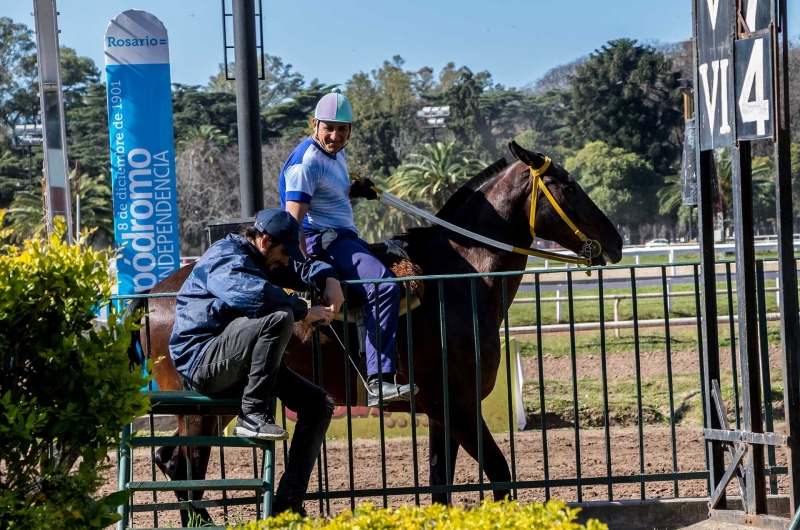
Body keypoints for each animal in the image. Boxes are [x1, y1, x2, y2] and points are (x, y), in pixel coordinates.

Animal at [126, 141, 624, 524]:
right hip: (204, 405)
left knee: (173, 462)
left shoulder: (441, 414)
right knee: (187, 468)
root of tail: (154, 292)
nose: (616, 241)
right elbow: (501, 477)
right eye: (568, 186)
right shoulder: (461, 408)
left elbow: (441, 488)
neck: (457, 279)